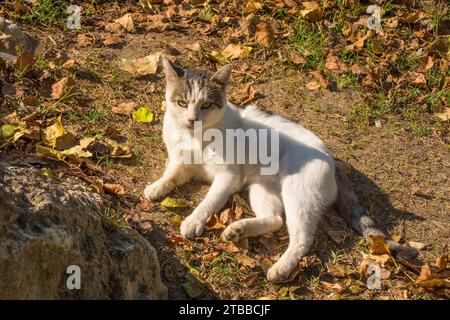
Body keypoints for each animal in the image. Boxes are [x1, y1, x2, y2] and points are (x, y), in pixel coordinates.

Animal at [144, 57, 414, 282]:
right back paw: (238, 230)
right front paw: (156, 188)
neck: (194, 139)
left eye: (207, 104)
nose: (192, 119)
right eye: (182, 103)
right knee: (275, 220)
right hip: (261, 188)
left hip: (297, 196)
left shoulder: (228, 176)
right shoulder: (181, 162)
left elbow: (208, 201)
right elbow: (171, 175)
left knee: (302, 238)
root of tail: (332, 159)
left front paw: (193, 220)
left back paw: (280, 269)